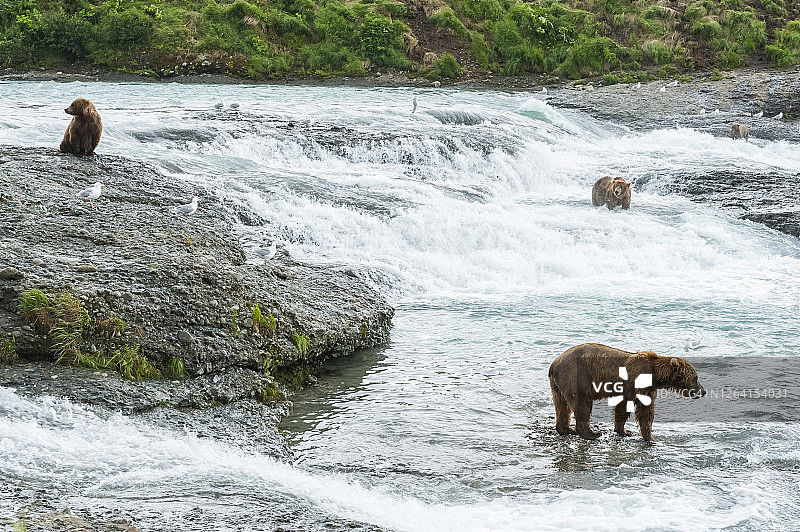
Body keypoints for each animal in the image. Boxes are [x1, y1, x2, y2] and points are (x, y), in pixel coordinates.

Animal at [548, 343, 705, 441]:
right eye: (695, 378)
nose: (703, 391)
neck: (656, 376)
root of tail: (554, 364)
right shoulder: (633, 383)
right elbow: (626, 406)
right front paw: (628, 431)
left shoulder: (649, 390)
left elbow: (645, 412)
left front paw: (644, 435)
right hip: (577, 376)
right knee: (582, 404)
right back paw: (591, 433)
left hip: (558, 386)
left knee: (562, 406)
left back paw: (566, 429)